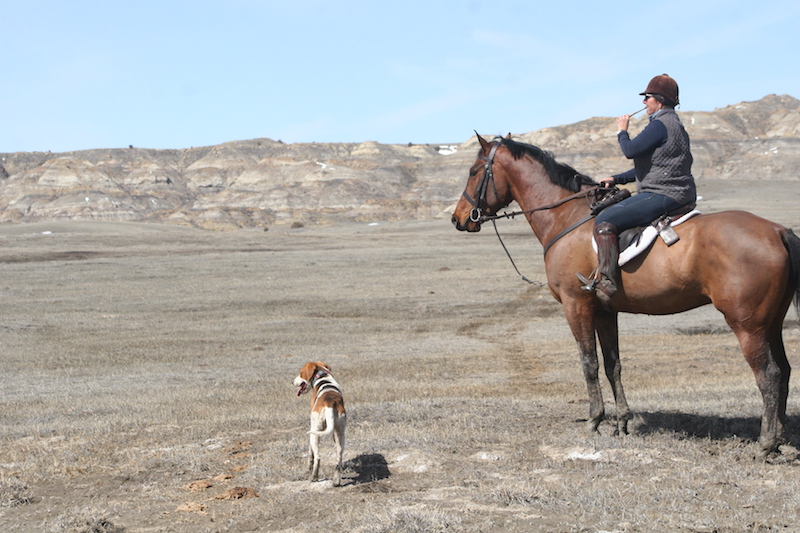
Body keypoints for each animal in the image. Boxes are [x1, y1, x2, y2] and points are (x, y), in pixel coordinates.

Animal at [450, 133, 800, 454]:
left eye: (473, 171)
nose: (459, 218)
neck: (568, 219)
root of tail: (777, 230)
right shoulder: (606, 312)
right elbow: (612, 364)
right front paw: (622, 422)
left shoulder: (576, 305)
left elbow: (589, 362)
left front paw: (594, 420)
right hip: (770, 323)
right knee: (783, 371)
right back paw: (780, 436)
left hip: (746, 324)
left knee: (768, 374)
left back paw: (766, 444)